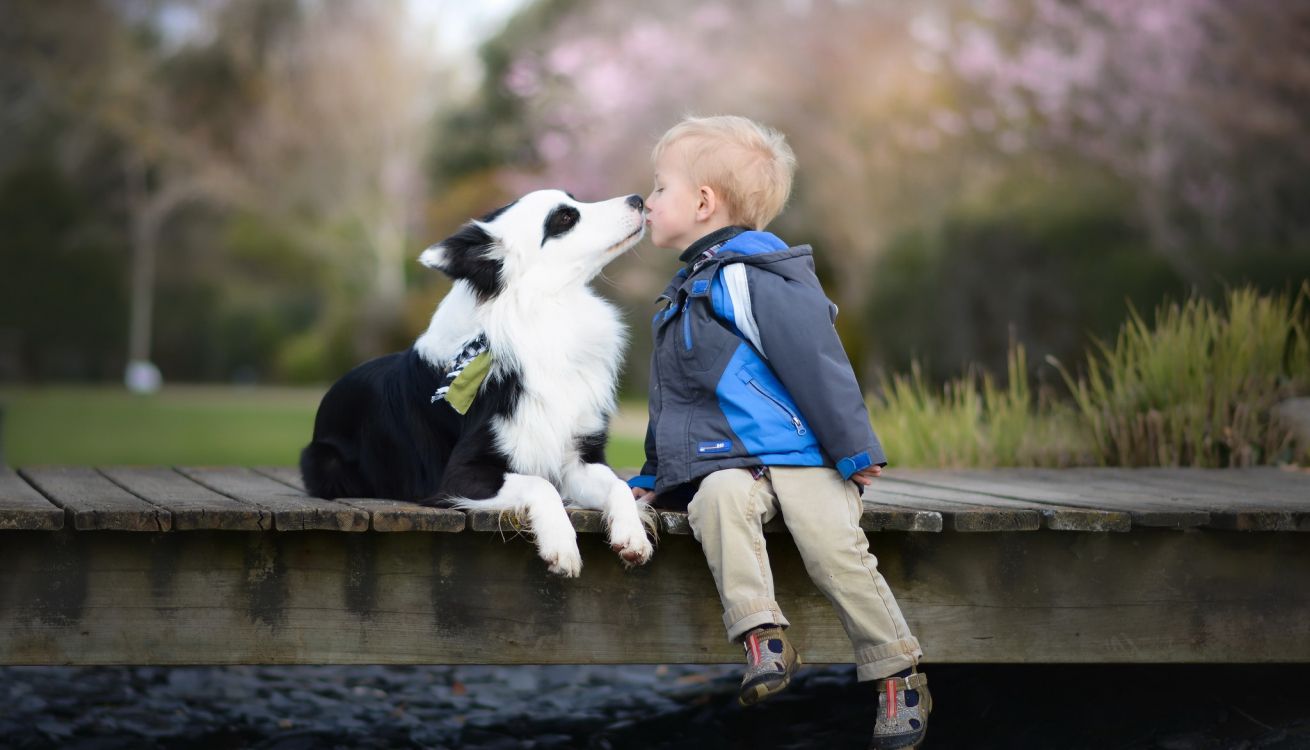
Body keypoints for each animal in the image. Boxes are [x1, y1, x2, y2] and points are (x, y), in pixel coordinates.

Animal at [303, 189, 655, 575]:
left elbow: (619, 484)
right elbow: (540, 484)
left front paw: (632, 535)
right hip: (325, 462)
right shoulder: (459, 475)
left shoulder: (578, 457)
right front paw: (561, 546)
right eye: (564, 218)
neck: (542, 315)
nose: (638, 199)